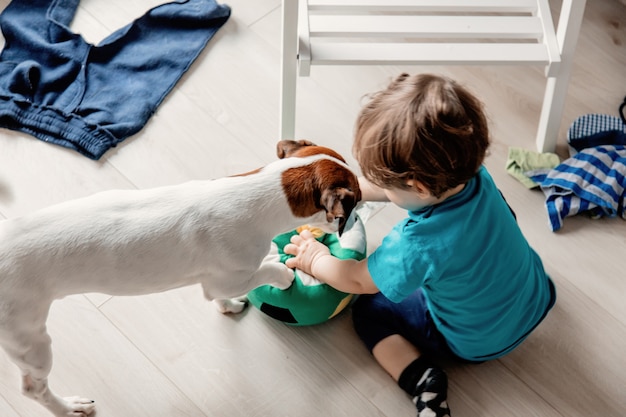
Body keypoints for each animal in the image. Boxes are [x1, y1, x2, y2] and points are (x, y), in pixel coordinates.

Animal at [0, 141, 358, 416]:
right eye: (352, 206)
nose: (356, 221)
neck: (257, 193)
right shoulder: (229, 276)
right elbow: (263, 273)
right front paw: (283, 274)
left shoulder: (214, 281)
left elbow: (218, 295)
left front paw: (229, 306)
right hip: (31, 340)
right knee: (33, 388)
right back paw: (68, 407)